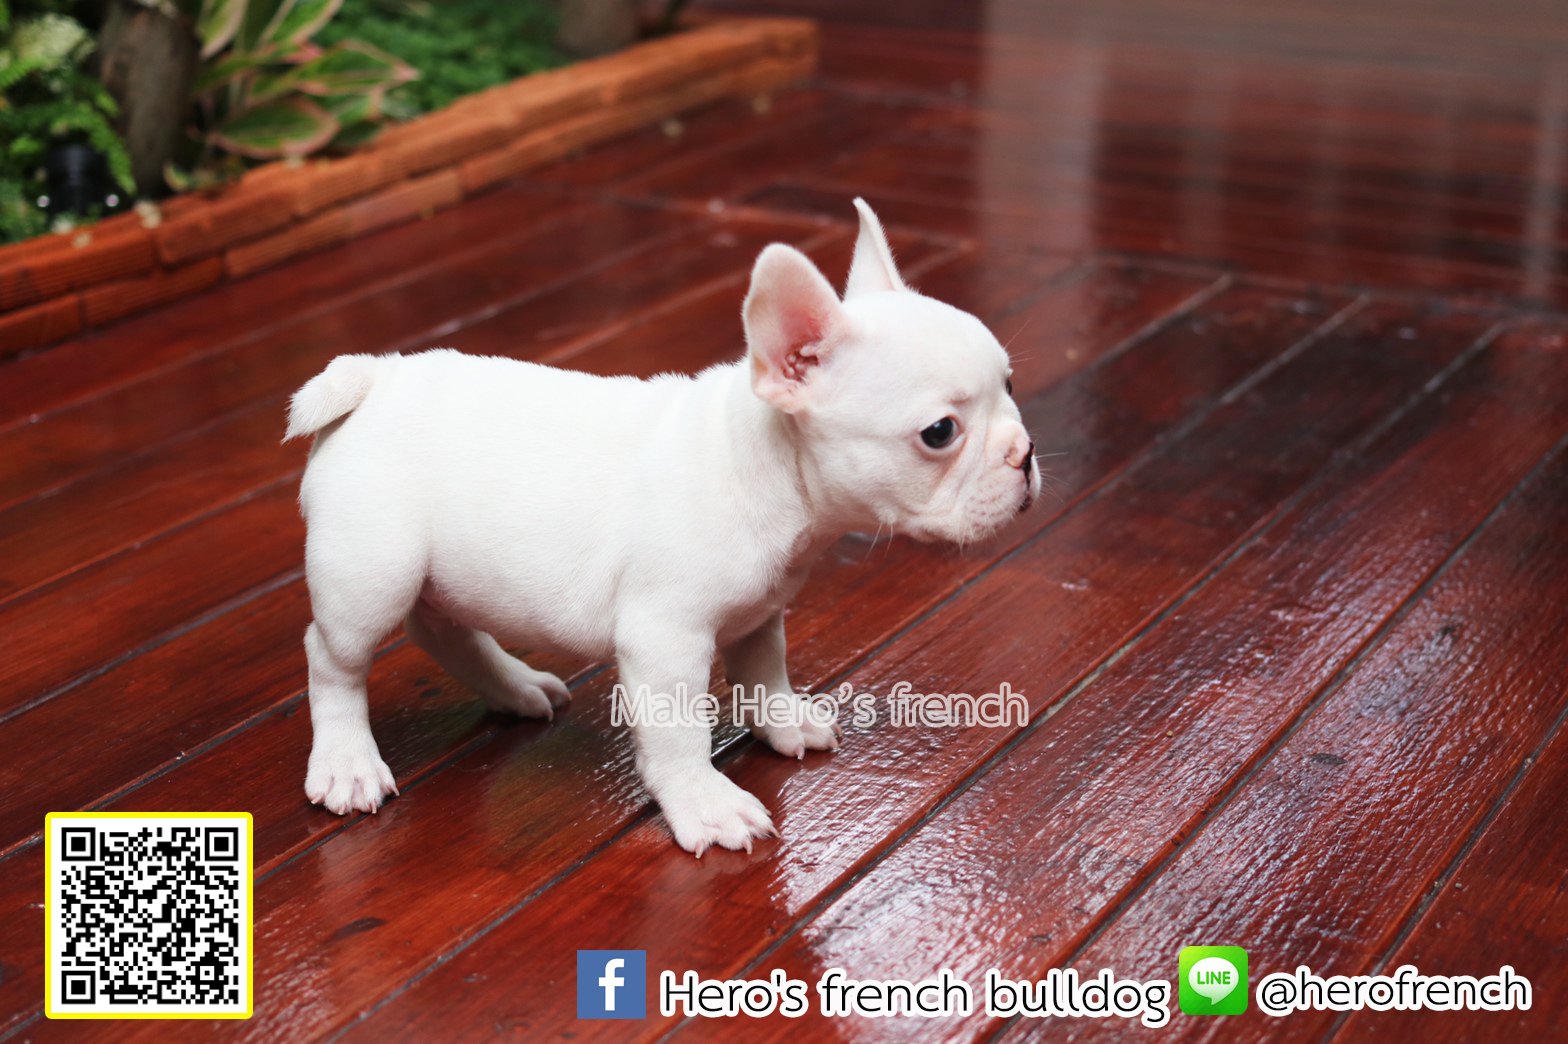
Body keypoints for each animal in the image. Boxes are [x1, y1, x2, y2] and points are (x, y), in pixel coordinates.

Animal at [285, 199, 1039, 855]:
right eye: (940, 432)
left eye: (1011, 386)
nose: (1026, 454)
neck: (763, 463)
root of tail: (375, 380)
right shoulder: (665, 640)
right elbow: (680, 732)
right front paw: (705, 804)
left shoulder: (760, 613)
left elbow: (766, 671)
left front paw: (782, 721)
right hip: (372, 573)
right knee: (334, 659)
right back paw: (347, 762)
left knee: (443, 629)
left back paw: (514, 687)